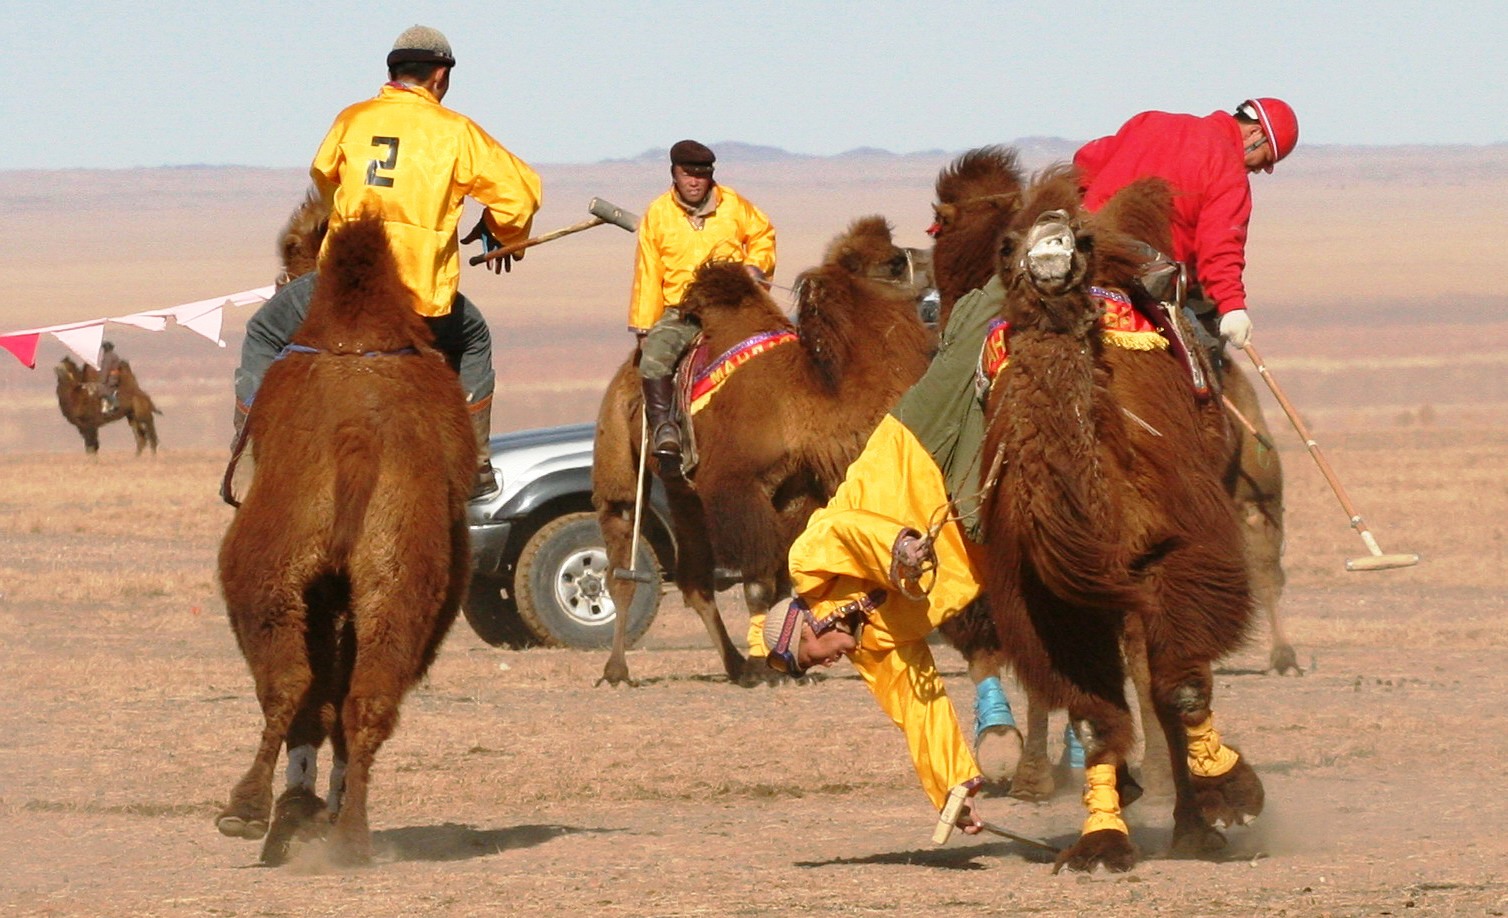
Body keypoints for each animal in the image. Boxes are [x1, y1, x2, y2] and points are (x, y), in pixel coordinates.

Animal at [215, 214, 473, 868]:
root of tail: (357, 435)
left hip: (272, 578)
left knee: (293, 686)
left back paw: (265, 812)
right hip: (393, 584)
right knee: (358, 698)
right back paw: (339, 831)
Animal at [591, 218, 928, 684]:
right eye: (895, 262)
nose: (930, 259)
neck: (803, 400)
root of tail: (623, 378)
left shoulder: (798, 491)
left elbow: (785, 577)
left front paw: (789, 668)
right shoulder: (738, 487)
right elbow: (758, 583)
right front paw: (764, 668)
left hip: (684, 494)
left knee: (695, 581)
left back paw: (733, 665)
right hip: (621, 471)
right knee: (623, 554)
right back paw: (618, 670)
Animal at [971, 168, 1266, 868]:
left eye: (1075, 237)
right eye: (1007, 245)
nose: (1050, 254)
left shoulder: (1184, 553)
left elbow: (1181, 689)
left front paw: (1230, 792)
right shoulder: (1048, 602)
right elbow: (1094, 716)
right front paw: (1102, 839)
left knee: (1163, 680)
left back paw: (1195, 821)